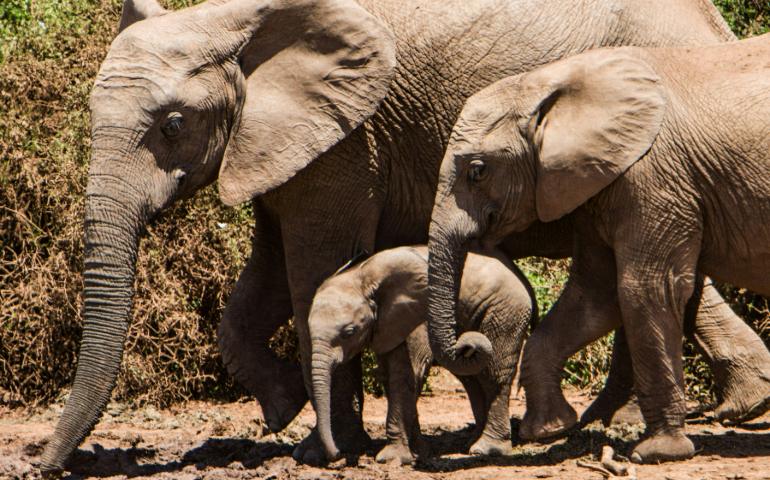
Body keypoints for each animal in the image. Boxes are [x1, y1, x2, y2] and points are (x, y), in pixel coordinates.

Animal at [308, 246, 535, 463]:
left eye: (349, 332)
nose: (337, 455)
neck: (361, 276)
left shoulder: (415, 320)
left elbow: (405, 376)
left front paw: (393, 458)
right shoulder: (386, 326)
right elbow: (391, 377)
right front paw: (419, 452)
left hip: (505, 311)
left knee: (493, 375)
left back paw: (486, 449)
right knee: (472, 379)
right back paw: (471, 443)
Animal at [425, 34, 770, 463]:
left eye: (477, 170)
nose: (470, 344)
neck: (550, 82)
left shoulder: (652, 177)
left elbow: (645, 289)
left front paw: (656, 452)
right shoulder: (599, 183)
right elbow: (594, 294)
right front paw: (550, 429)